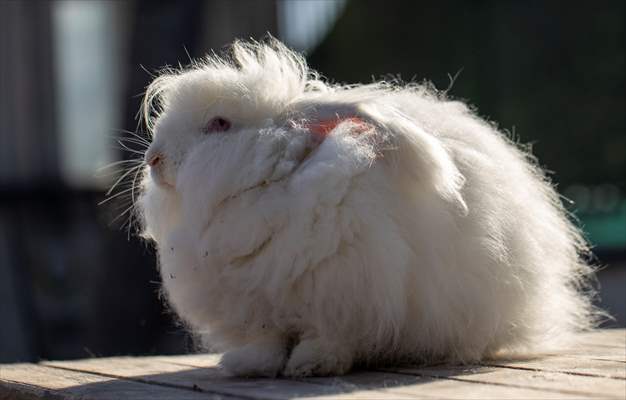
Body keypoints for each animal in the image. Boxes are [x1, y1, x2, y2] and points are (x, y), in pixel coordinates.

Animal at [139, 39, 596, 376]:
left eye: (219, 124)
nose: (153, 159)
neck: (268, 190)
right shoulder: (259, 308)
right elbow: (268, 342)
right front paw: (248, 365)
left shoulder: (346, 295)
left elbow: (330, 337)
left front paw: (310, 365)